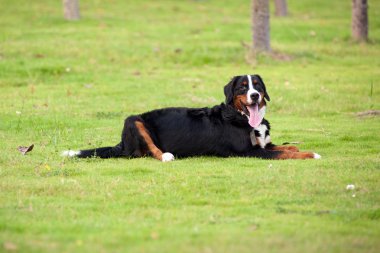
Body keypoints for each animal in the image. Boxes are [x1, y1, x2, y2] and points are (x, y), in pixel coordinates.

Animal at [63, 74, 320, 161]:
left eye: (257, 85)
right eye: (242, 87)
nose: (255, 96)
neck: (239, 117)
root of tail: (122, 144)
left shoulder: (261, 145)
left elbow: (286, 148)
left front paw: (299, 148)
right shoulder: (248, 152)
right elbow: (284, 153)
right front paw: (312, 154)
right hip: (133, 119)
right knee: (150, 151)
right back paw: (166, 155)